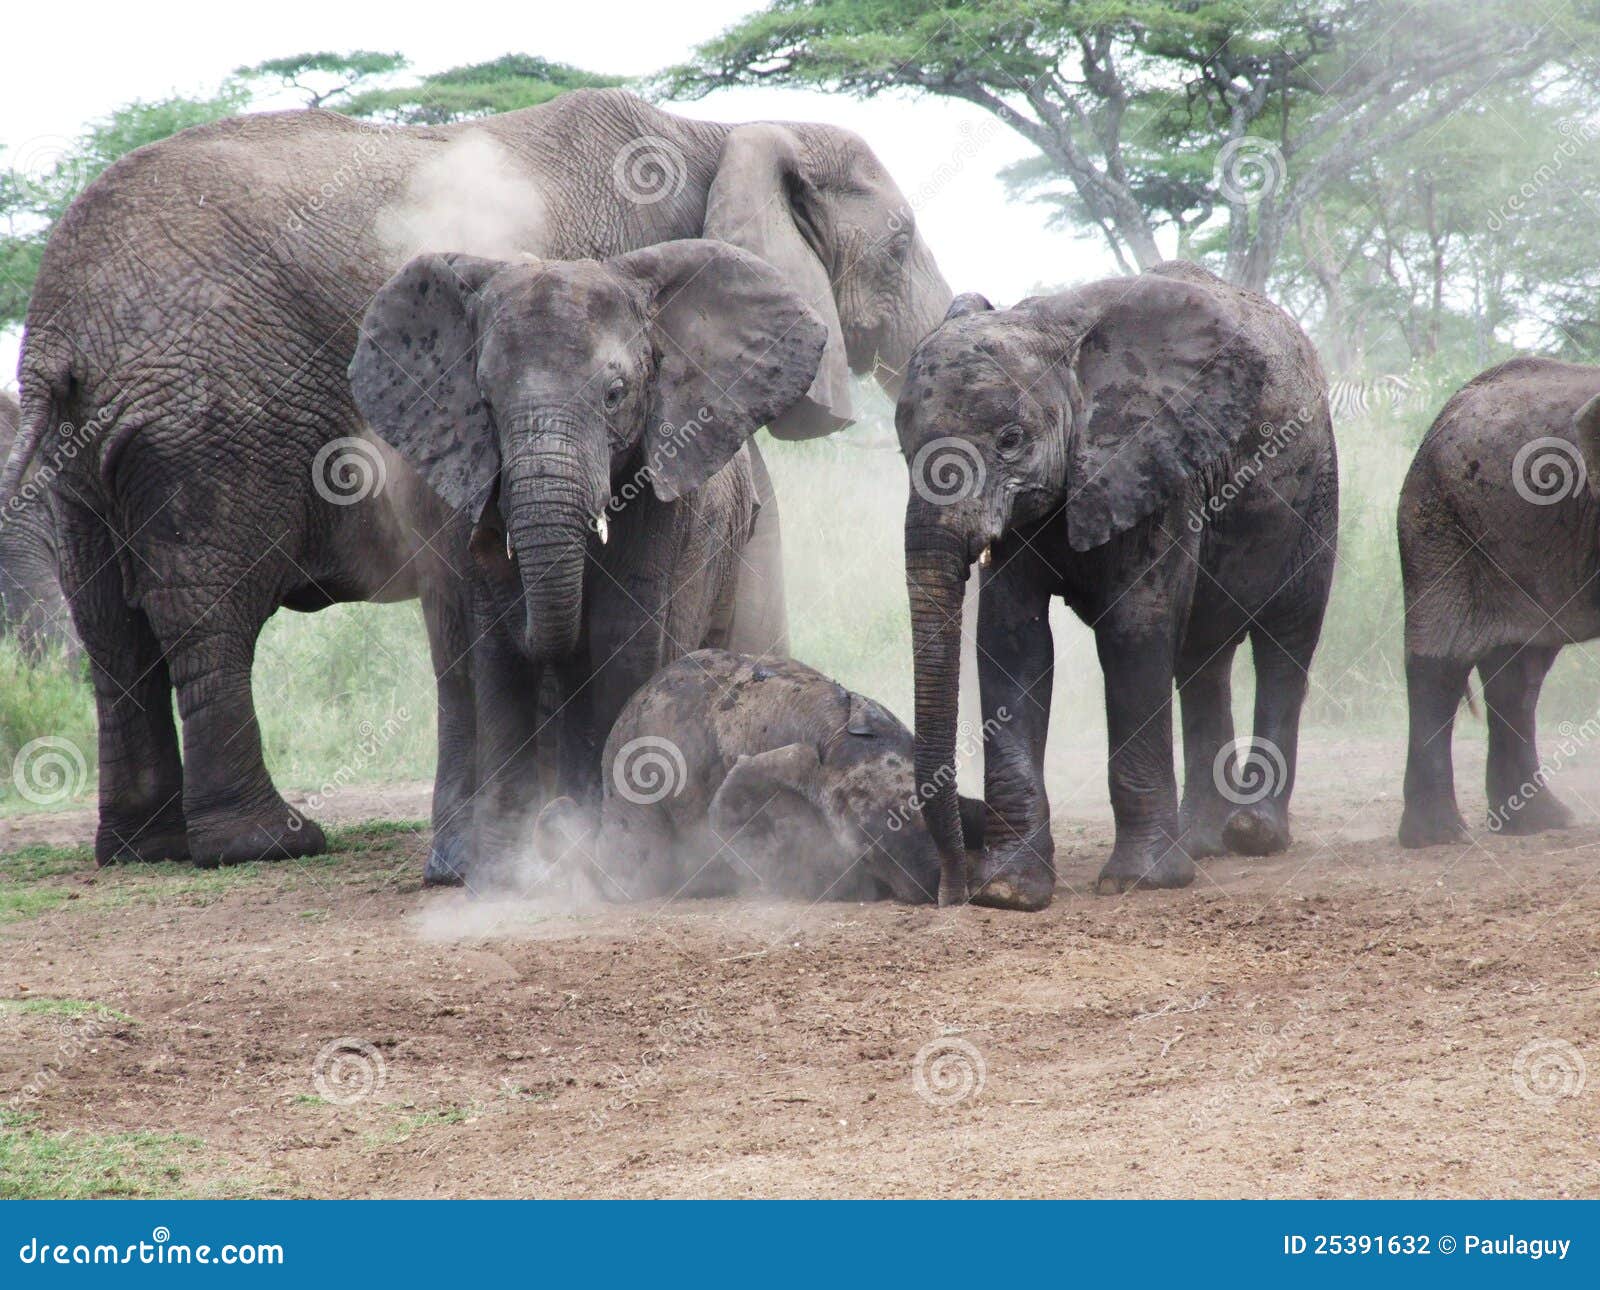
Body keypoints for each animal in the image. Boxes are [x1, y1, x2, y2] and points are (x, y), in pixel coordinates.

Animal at [349, 240, 828, 875]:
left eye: (615, 395)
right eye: (484, 403)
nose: (488, 540)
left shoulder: (667, 490)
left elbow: (625, 638)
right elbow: (498, 657)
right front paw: (504, 872)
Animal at [898, 262, 1339, 909]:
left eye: (1010, 440)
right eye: (903, 445)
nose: (949, 893)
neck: (1055, 335)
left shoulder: (1158, 464)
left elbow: (1134, 632)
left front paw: (1139, 881)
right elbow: (1011, 641)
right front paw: (1008, 892)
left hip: (1316, 489)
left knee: (1286, 641)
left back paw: (1253, 835)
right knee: (1202, 662)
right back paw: (1200, 843)